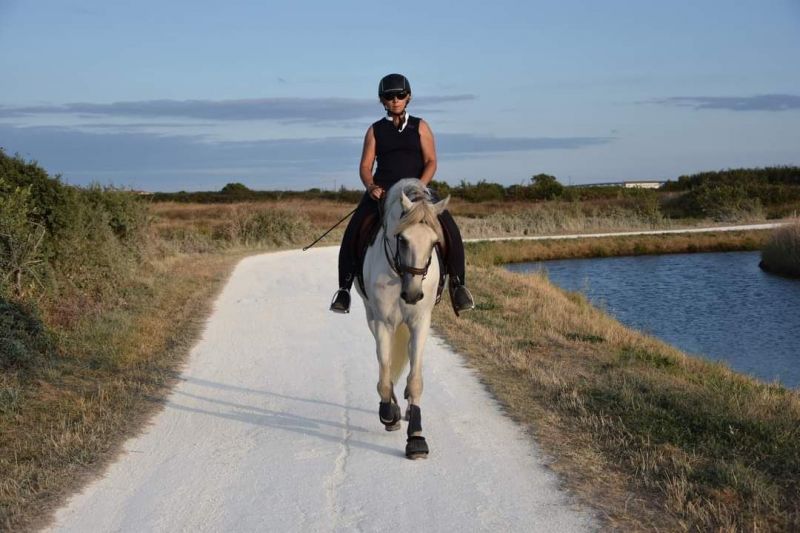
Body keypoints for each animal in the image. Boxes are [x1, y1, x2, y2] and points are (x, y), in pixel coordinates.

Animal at [356, 178, 450, 458]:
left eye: (434, 242)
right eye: (402, 239)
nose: (413, 294)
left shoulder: (420, 322)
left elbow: (415, 379)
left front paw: (416, 437)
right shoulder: (383, 322)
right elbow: (385, 373)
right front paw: (389, 414)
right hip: (371, 318)